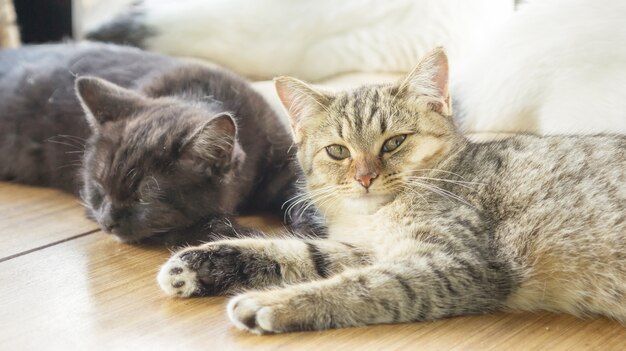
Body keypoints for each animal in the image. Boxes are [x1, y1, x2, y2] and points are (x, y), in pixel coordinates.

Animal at [0, 42, 314, 246]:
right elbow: (200, 225)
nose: (107, 222)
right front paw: (250, 239)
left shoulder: (282, 159)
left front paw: (312, 228)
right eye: (99, 187)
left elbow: (303, 191)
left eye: (143, 198)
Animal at [157, 48, 624, 334]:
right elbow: (298, 252)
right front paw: (201, 262)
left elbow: (364, 286)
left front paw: (274, 303)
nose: (365, 177)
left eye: (394, 142)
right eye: (338, 150)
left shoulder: (455, 263)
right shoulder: (365, 247)